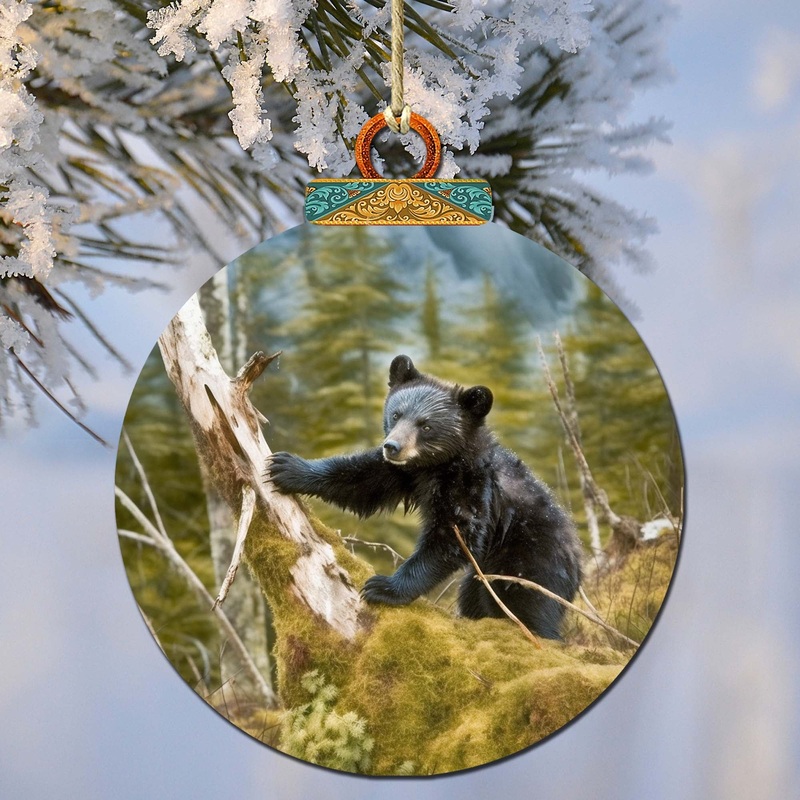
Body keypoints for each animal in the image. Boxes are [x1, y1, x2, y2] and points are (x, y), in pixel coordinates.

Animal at [267, 354, 583, 639]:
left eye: (426, 425)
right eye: (396, 414)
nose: (392, 446)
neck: (437, 465)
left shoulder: (470, 486)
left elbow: (452, 536)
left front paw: (383, 587)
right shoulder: (403, 472)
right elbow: (362, 480)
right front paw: (287, 467)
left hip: (530, 561)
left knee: (530, 606)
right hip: (484, 574)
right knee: (475, 597)